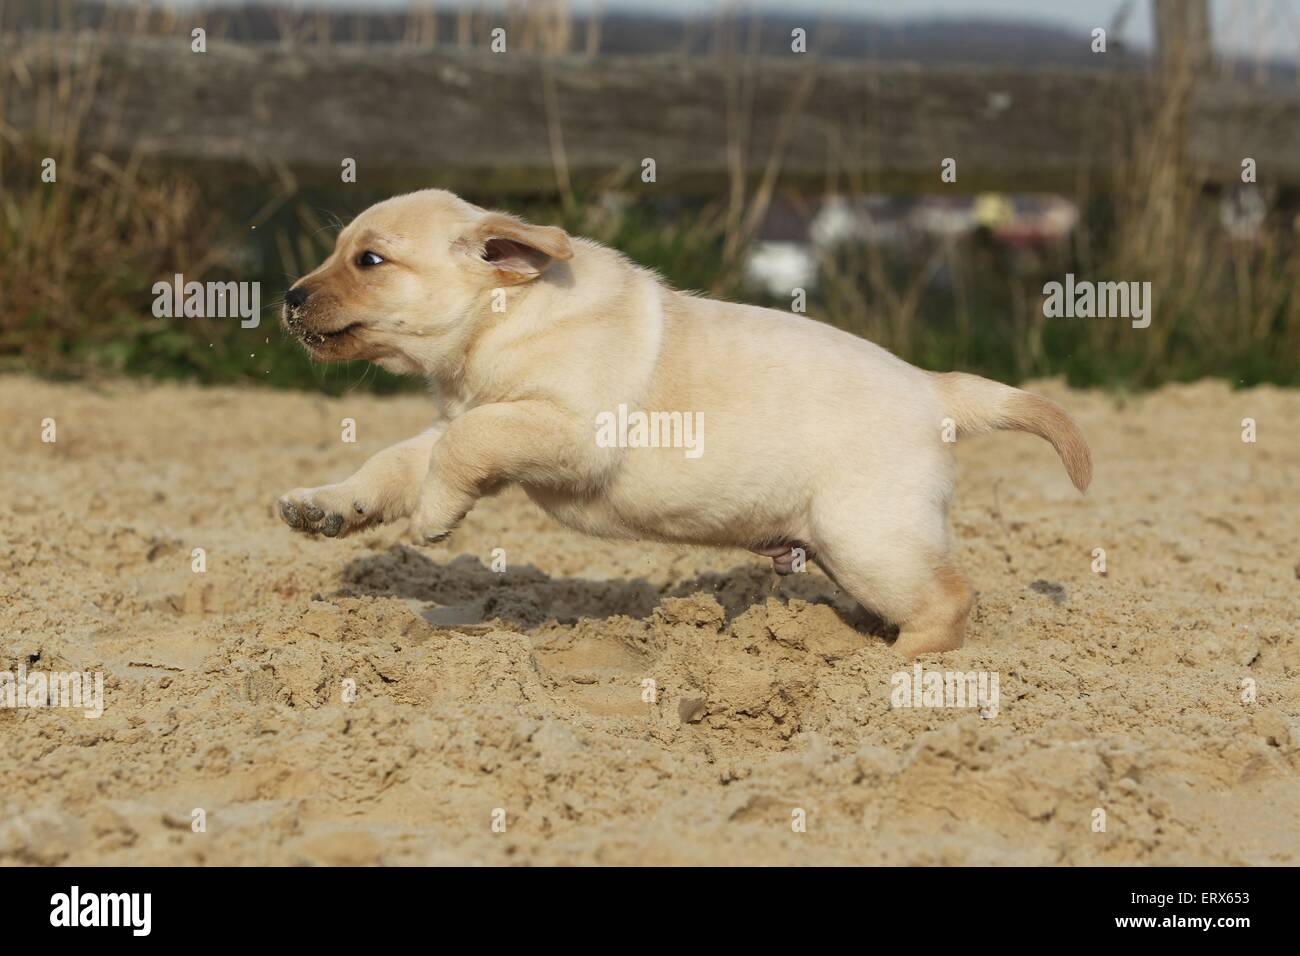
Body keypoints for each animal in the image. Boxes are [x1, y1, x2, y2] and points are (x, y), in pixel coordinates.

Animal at [279, 188, 1092, 658]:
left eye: (369, 261)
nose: (287, 296)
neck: (508, 316)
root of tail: (934, 388)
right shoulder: (480, 413)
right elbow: (402, 457)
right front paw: (326, 506)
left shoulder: (565, 430)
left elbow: (460, 444)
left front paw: (436, 517)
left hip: (870, 538)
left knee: (950, 600)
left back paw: (890, 666)